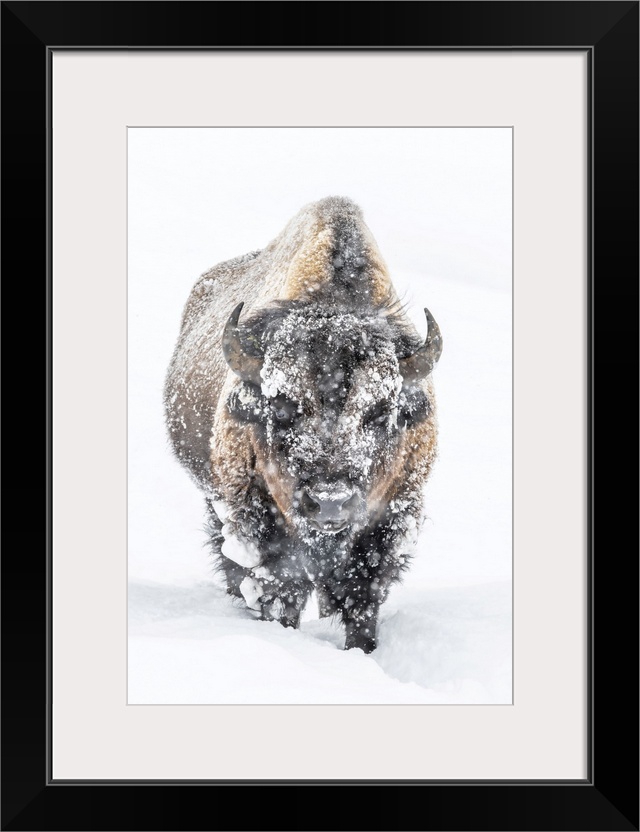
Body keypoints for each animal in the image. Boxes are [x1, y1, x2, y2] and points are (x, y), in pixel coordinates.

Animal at [164, 197, 442, 653]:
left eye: (381, 411)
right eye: (280, 407)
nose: (330, 502)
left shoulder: (390, 519)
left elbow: (362, 599)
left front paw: (362, 651)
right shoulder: (259, 521)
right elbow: (282, 591)